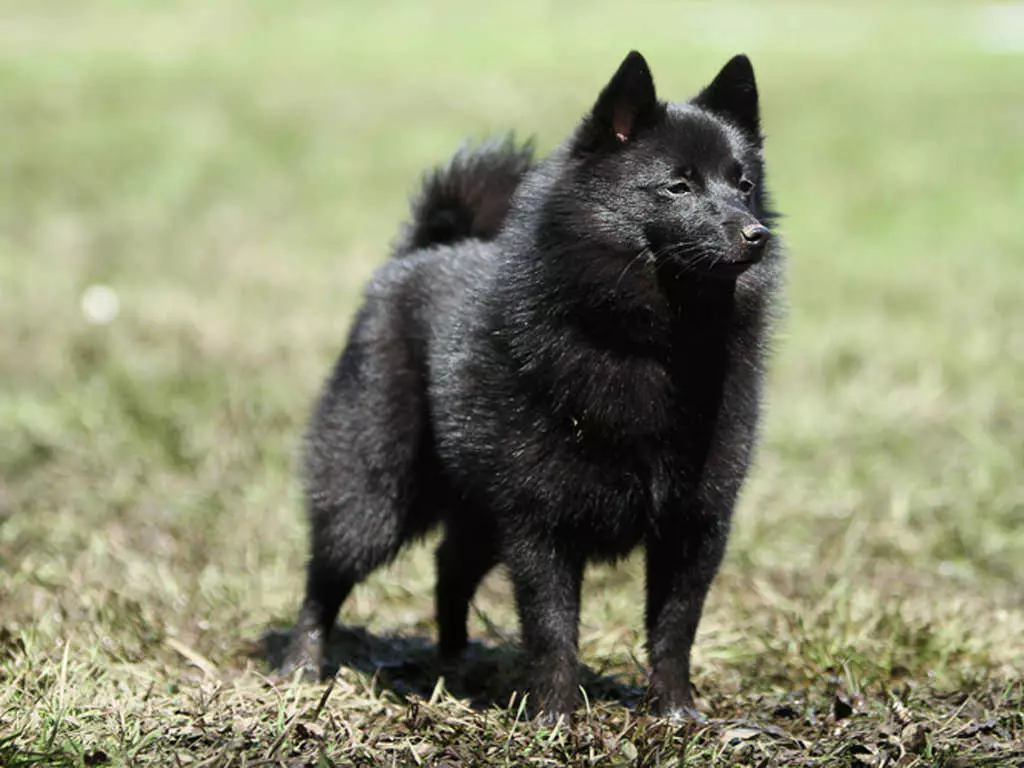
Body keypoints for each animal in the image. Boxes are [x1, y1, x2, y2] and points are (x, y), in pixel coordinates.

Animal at [282, 51, 782, 720]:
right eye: (678, 186)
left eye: (744, 183)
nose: (757, 234)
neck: (648, 347)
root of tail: (420, 252)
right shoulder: (541, 524)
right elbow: (551, 629)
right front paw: (555, 718)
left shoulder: (695, 524)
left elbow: (675, 628)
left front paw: (677, 713)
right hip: (375, 493)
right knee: (326, 577)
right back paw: (303, 668)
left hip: (476, 505)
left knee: (450, 567)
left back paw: (453, 664)